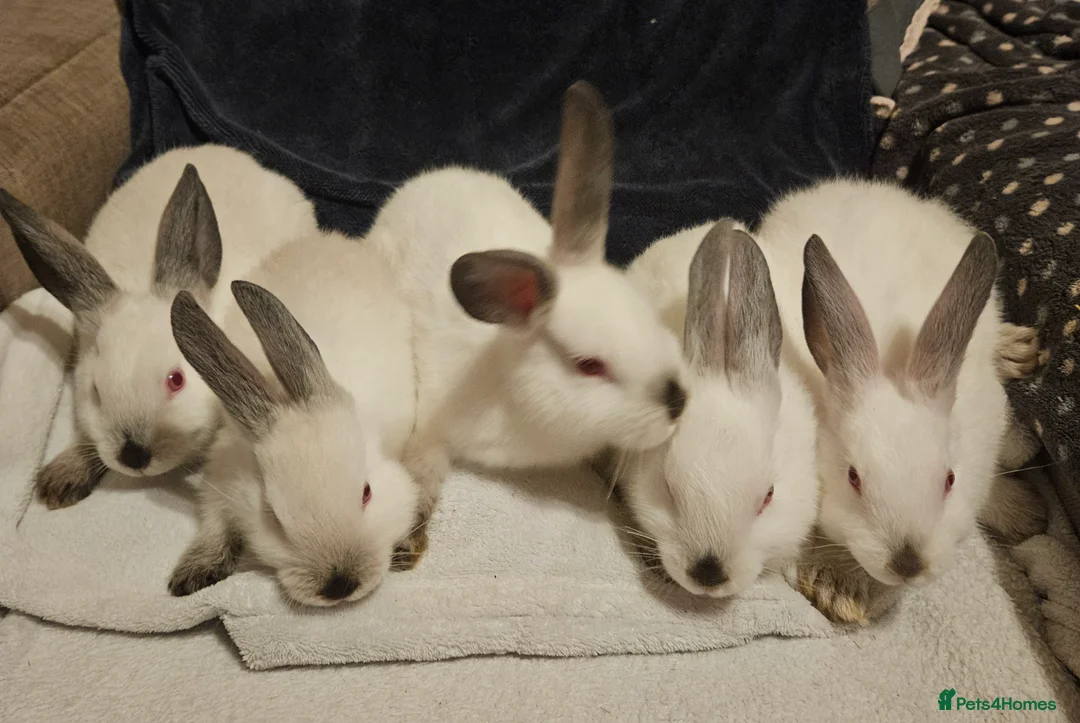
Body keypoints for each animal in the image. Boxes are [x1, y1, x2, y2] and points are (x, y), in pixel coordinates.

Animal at [167, 229, 420, 605]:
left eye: (366, 492)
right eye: (272, 515)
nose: (341, 586)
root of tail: (328, 239)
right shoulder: (222, 477)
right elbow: (214, 525)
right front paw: (191, 576)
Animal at [365, 81, 687, 553]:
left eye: (649, 316)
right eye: (589, 365)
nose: (678, 402)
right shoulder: (431, 426)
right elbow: (422, 469)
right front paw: (408, 538)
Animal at [750, 178, 1035, 623]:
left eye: (950, 479)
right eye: (853, 477)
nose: (908, 564)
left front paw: (1025, 514)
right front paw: (838, 591)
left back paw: (1017, 350)